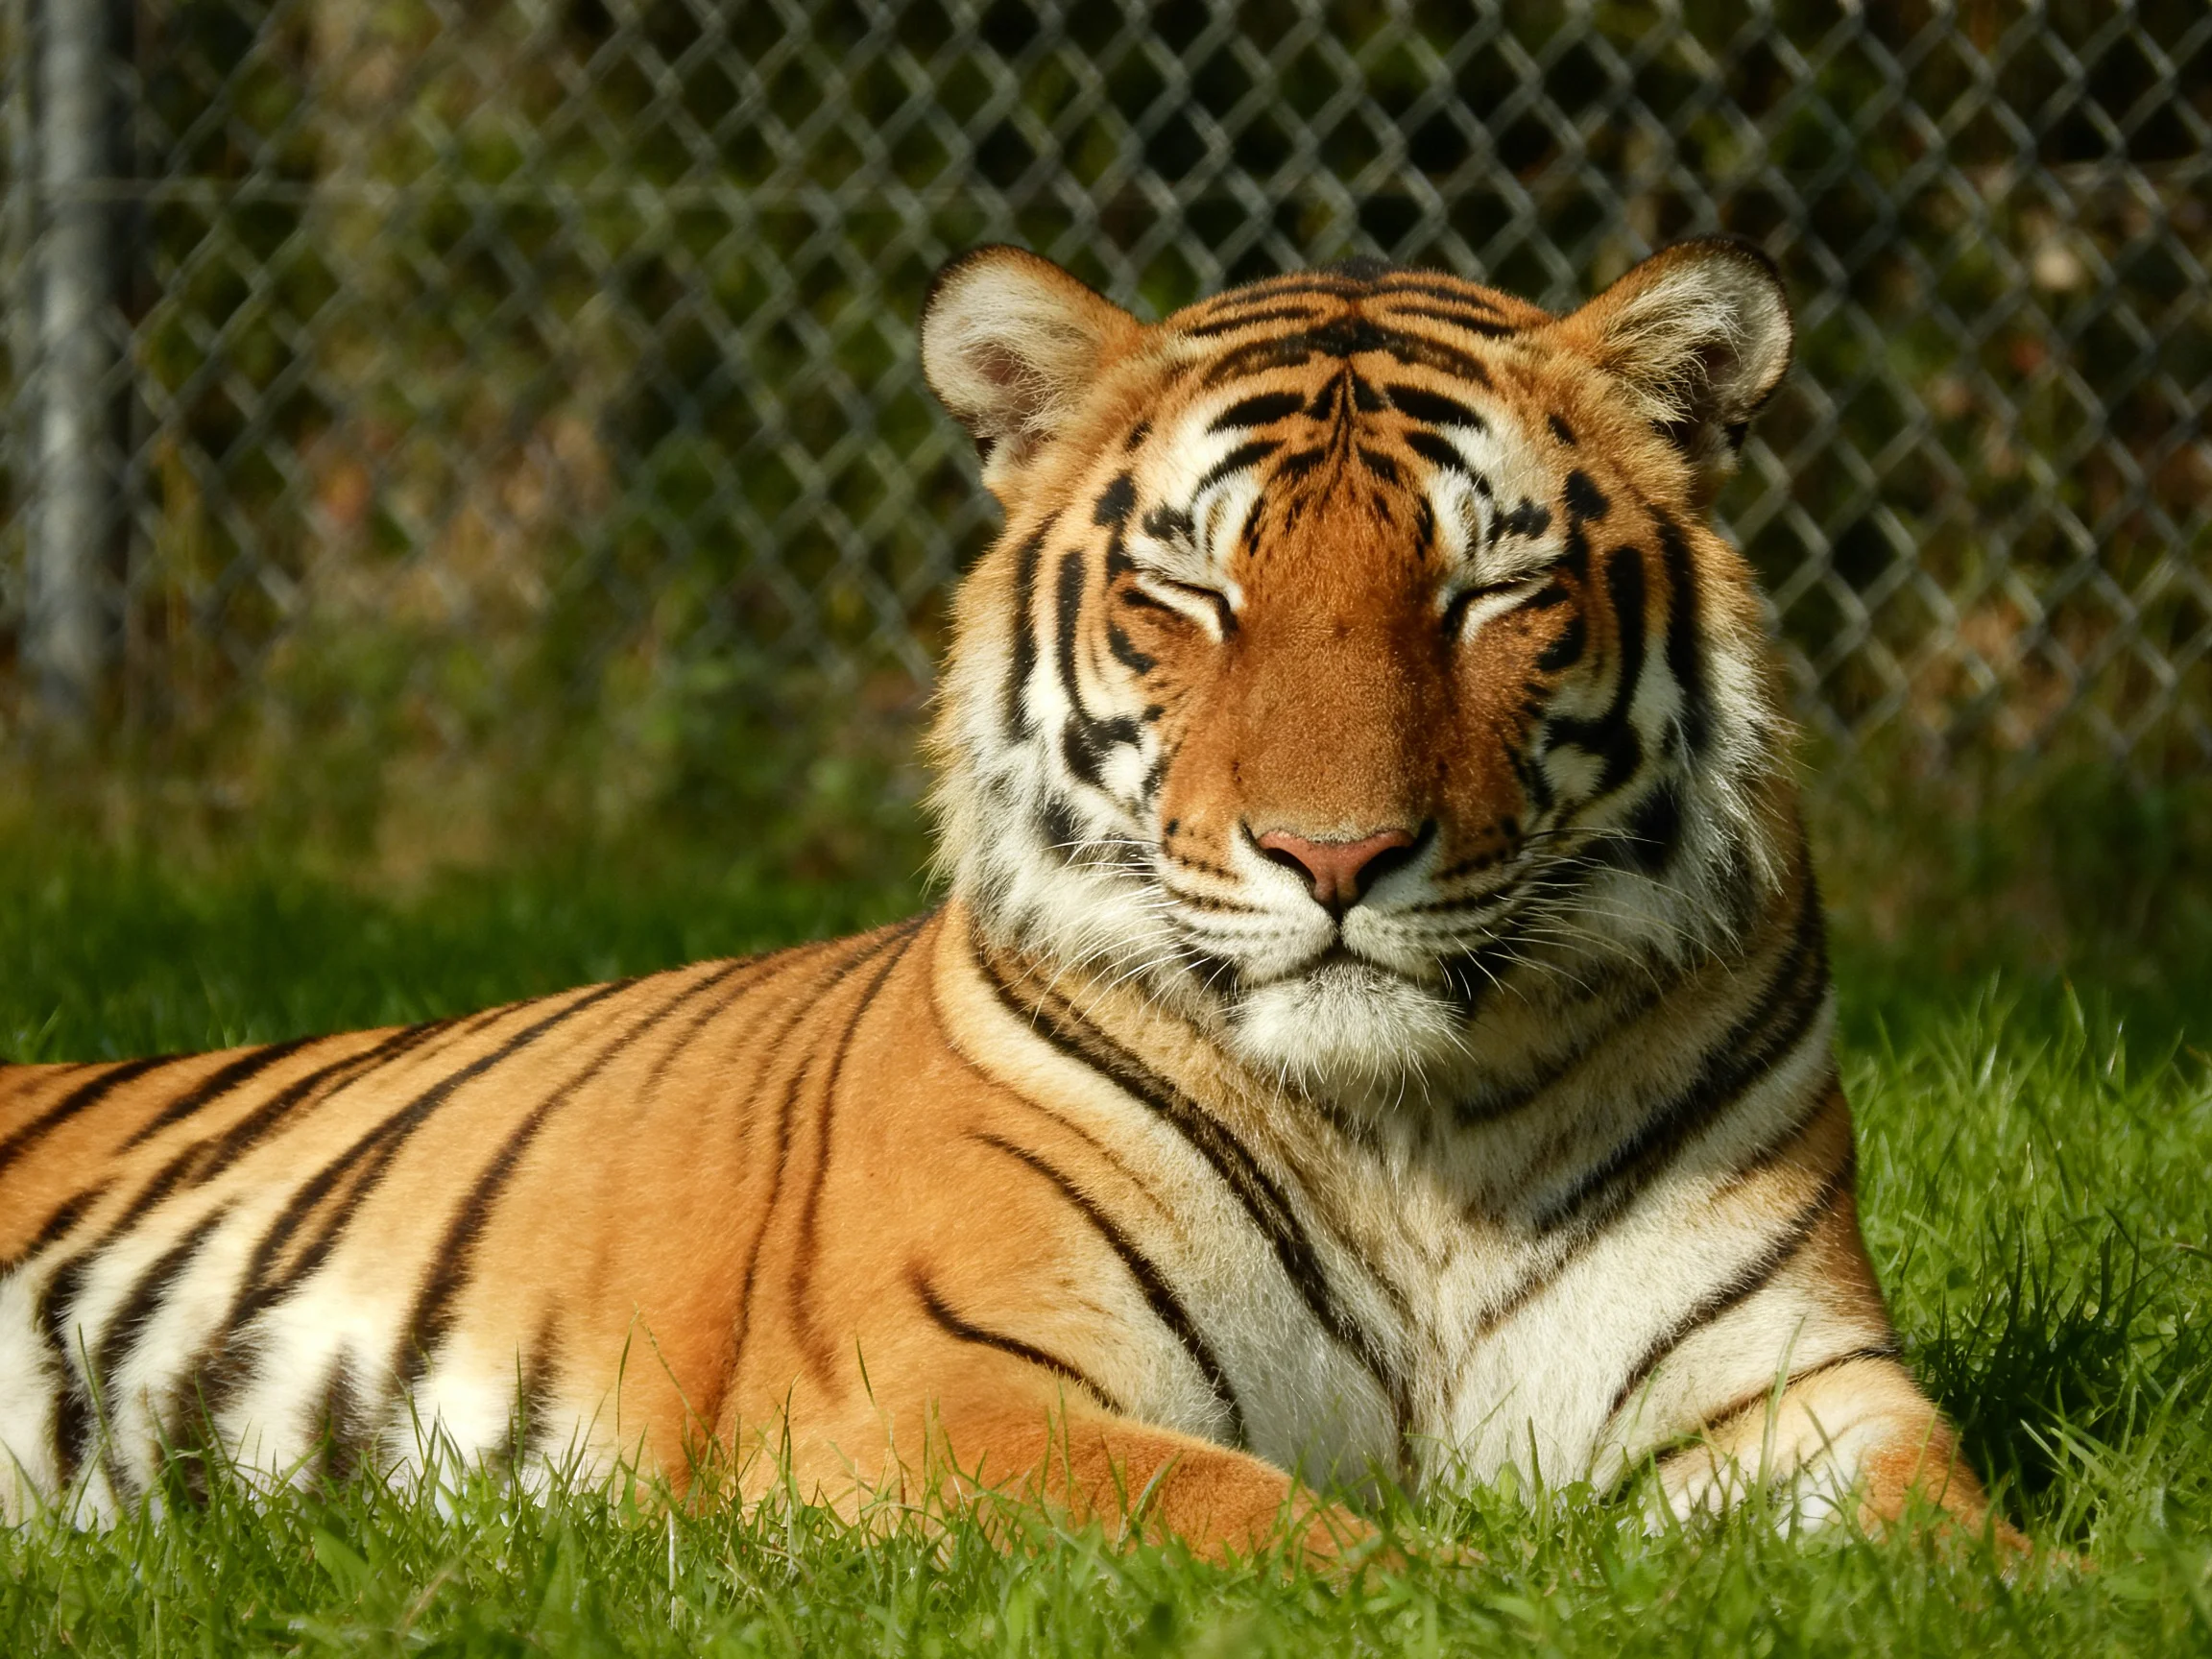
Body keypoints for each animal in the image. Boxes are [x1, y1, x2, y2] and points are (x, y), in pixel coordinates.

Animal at [0, 239, 2019, 1561]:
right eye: (1191, 592)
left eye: (1484, 594)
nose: (1334, 858)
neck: (1407, 1131)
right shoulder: (948, 1385)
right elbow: (1289, 1536)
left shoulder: (1782, 1387)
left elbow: (1975, 1554)